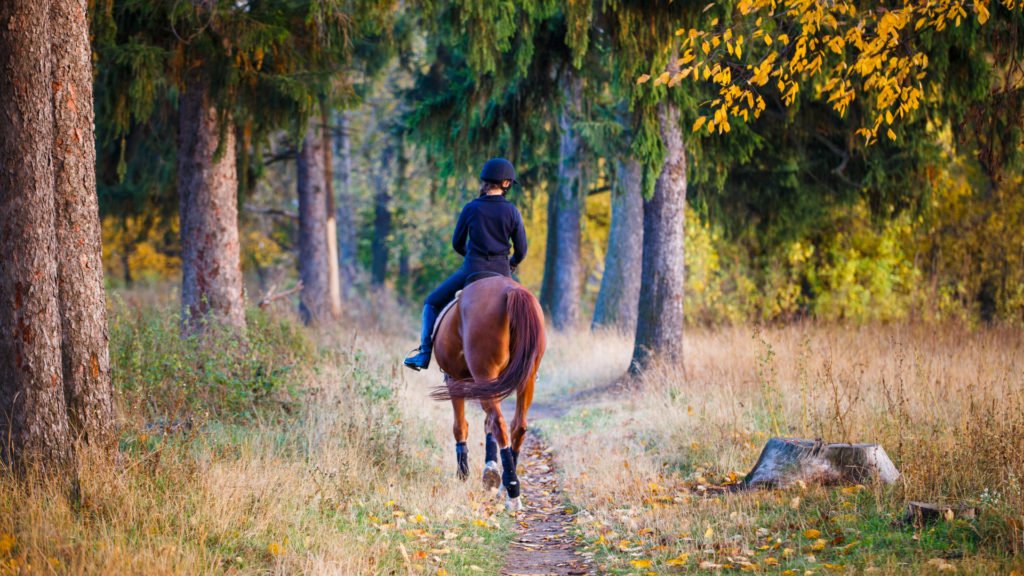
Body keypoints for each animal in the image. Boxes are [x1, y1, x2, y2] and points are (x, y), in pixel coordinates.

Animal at [430, 276, 544, 508]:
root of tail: (510, 290)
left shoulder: (454, 380)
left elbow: (460, 426)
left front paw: (463, 472)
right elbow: (486, 425)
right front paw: (490, 471)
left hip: (483, 374)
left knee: (499, 423)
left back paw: (512, 489)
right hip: (525, 378)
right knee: (517, 426)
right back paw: (506, 487)